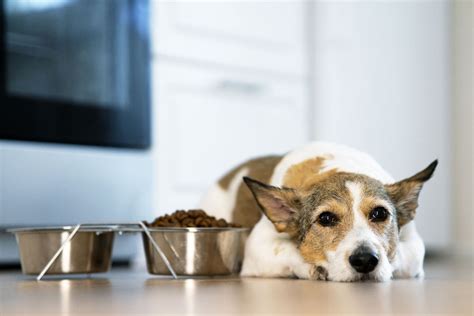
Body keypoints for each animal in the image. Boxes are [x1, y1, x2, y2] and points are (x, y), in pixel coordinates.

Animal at [199, 141, 436, 282]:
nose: (365, 260)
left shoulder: (415, 245)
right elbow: (288, 251)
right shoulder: (256, 249)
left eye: (380, 214)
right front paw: (312, 268)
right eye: (326, 218)